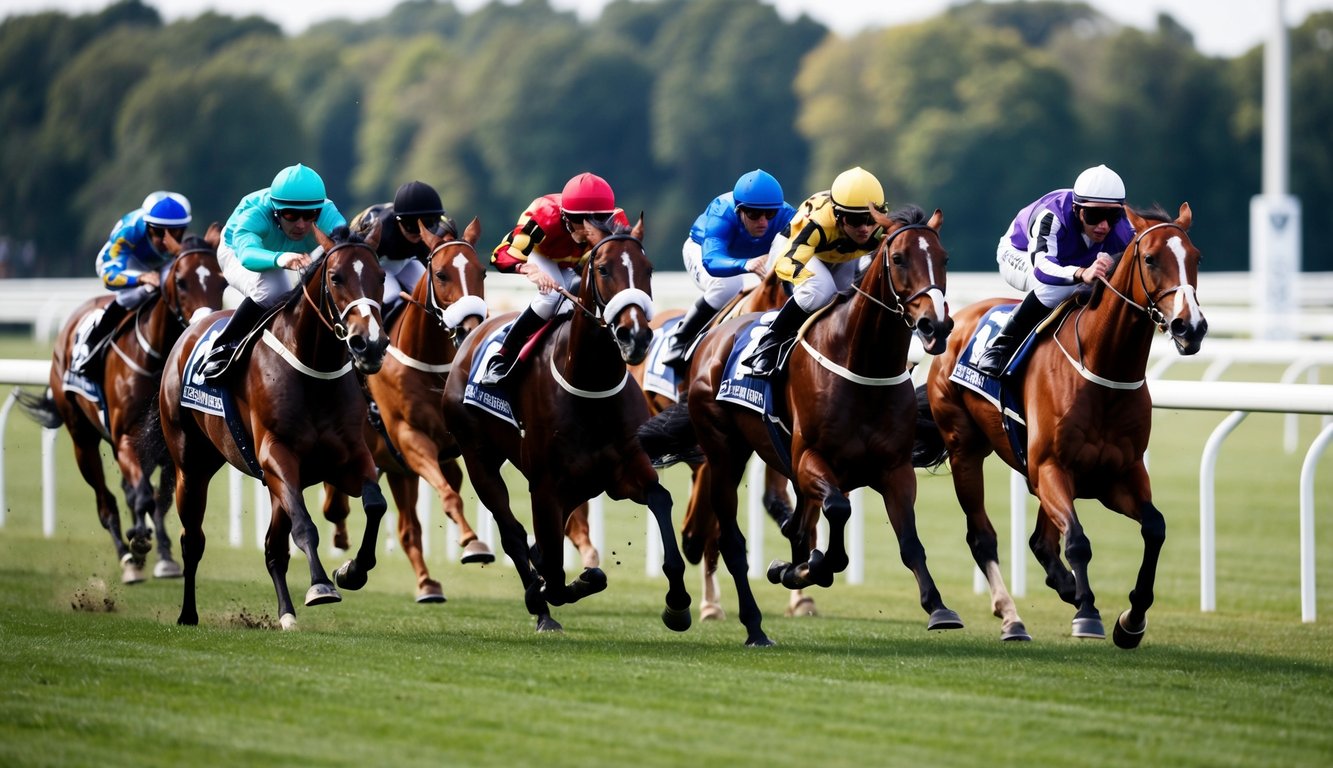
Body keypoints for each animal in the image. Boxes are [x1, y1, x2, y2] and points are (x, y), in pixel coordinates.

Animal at [16, 228, 226, 581]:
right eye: (181, 281)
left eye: (222, 281)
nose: (206, 324)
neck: (155, 358)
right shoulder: (127, 437)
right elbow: (142, 496)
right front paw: (138, 542)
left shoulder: (168, 448)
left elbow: (159, 501)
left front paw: (165, 556)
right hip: (83, 438)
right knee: (106, 500)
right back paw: (126, 556)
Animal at [157, 225, 389, 626]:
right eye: (335, 277)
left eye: (382, 276)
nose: (370, 345)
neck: (314, 370)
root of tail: (193, 327)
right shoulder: (277, 455)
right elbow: (305, 525)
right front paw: (321, 585)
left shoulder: (348, 457)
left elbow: (375, 504)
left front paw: (351, 571)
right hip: (192, 467)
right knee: (193, 539)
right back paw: (188, 613)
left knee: (272, 547)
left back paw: (286, 614)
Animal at [445, 217, 698, 634]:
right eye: (604, 269)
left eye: (647, 270)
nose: (635, 336)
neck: (589, 384)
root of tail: (470, 337)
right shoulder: (545, 486)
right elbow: (556, 573)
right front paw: (556, 587)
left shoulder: (623, 470)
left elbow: (661, 501)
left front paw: (677, 604)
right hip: (479, 457)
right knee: (513, 532)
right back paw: (540, 605)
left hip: (582, 483)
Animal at [645, 204, 959, 648]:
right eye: (898, 259)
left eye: (944, 259)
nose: (936, 326)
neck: (862, 363)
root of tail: (713, 338)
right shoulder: (810, 458)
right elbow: (836, 514)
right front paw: (807, 568)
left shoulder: (894, 468)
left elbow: (908, 541)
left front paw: (938, 606)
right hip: (724, 455)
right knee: (730, 541)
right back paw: (753, 625)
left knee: (792, 527)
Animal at [917, 202, 1210, 648]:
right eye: (1150, 259)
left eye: (1196, 258)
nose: (1189, 327)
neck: (1102, 370)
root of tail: (958, 320)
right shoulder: (1053, 467)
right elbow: (1078, 541)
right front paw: (1088, 612)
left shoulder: (1117, 475)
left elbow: (1155, 528)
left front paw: (1131, 619)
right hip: (966, 448)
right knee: (982, 536)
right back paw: (1013, 617)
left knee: (1041, 542)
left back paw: (1066, 587)